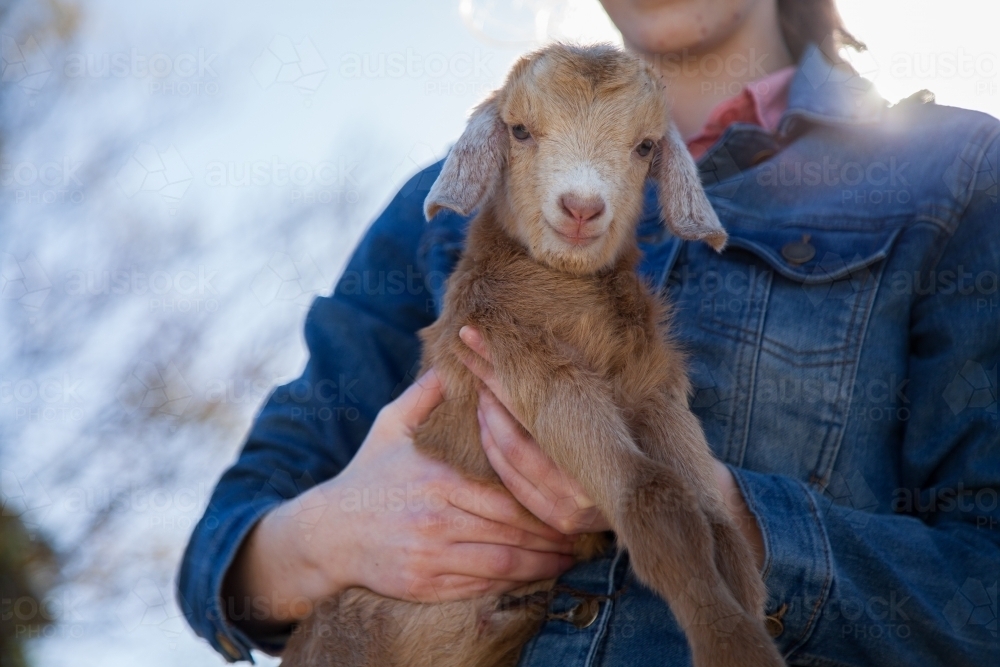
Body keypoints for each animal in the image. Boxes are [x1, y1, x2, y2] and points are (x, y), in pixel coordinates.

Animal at [282, 43, 780, 667]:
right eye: (519, 131)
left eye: (645, 146)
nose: (581, 207)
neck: (571, 299)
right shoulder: (522, 363)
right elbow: (655, 496)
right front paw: (729, 644)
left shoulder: (652, 390)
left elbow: (720, 527)